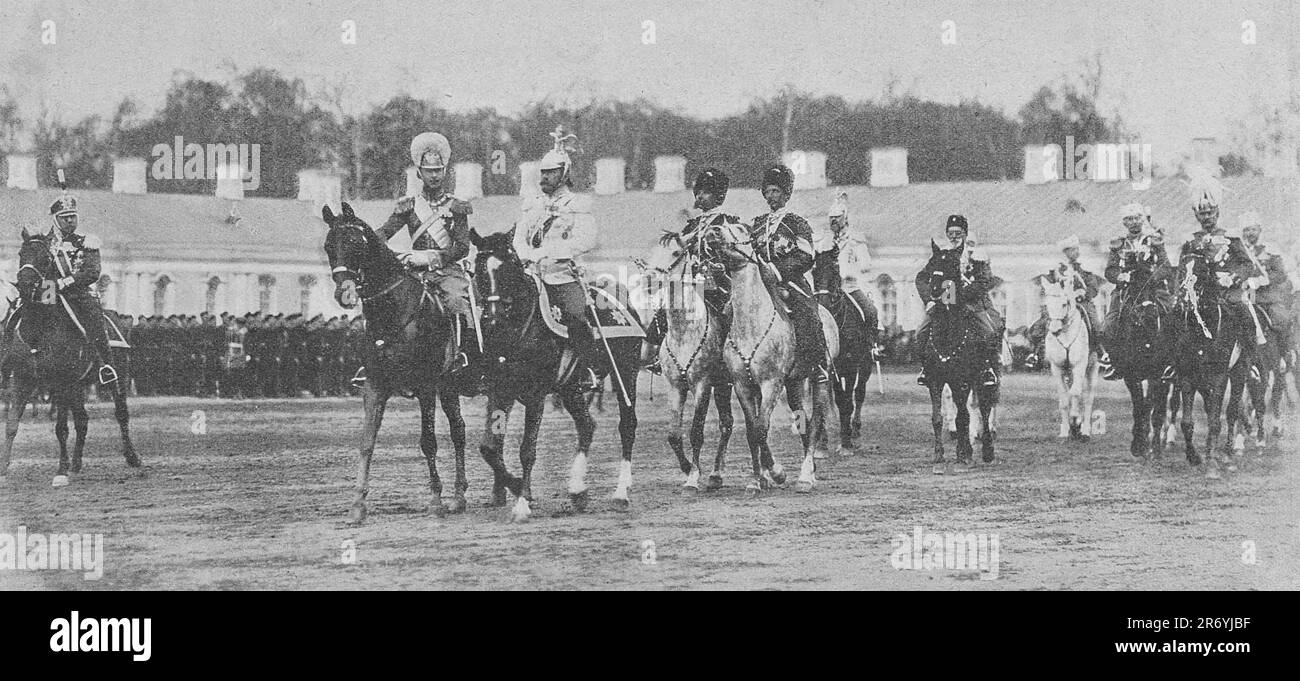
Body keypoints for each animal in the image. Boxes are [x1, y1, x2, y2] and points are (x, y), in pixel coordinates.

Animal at [1, 231, 137, 486]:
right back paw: (76, 463)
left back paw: (132, 457)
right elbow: (12, 423)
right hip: (77, 386)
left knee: (121, 413)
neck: (39, 330)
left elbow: (61, 428)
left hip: (117, 377)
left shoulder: (60, 383)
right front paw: (3, 466)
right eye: (21, 253)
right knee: (83, 420)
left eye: (46, 257)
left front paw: (60, 470)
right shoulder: (22, 381)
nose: (24, 283)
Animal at [322, 201, 470, 522]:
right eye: (328, 246)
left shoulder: (426, 386)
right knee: (459, 431)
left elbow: (428, 442)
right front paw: (358, 504)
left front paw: (435, 500)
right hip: (448, 387)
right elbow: (366, 443)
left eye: (355, 242)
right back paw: (459, 496)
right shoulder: (375, 386)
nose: (344, 293)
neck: (395, 313)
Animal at [475, 228, 642, 522]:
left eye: (509, 269)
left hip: (626, 373)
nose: (492, 321)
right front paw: (517, 486)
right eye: (480, 270)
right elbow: (489, 448)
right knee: (587, 426)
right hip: (570, 389)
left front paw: (522, 503)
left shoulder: (535, 395)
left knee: (627, 426)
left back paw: (621, 493)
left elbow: (527, 450)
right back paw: (577, 490)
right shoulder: (500, 390)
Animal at [1034, 278, 1097, 441]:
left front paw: (1076, 422)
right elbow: (1063, 398)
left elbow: (1075, 393)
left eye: (1064, 303)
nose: (1055, 330)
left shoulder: (1079, 366)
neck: (1065, 333)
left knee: (1087, 397)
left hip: (1092, 368)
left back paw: (1085, 430)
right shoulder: (1057, 368)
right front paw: (1065, 430)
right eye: (1047, 304)